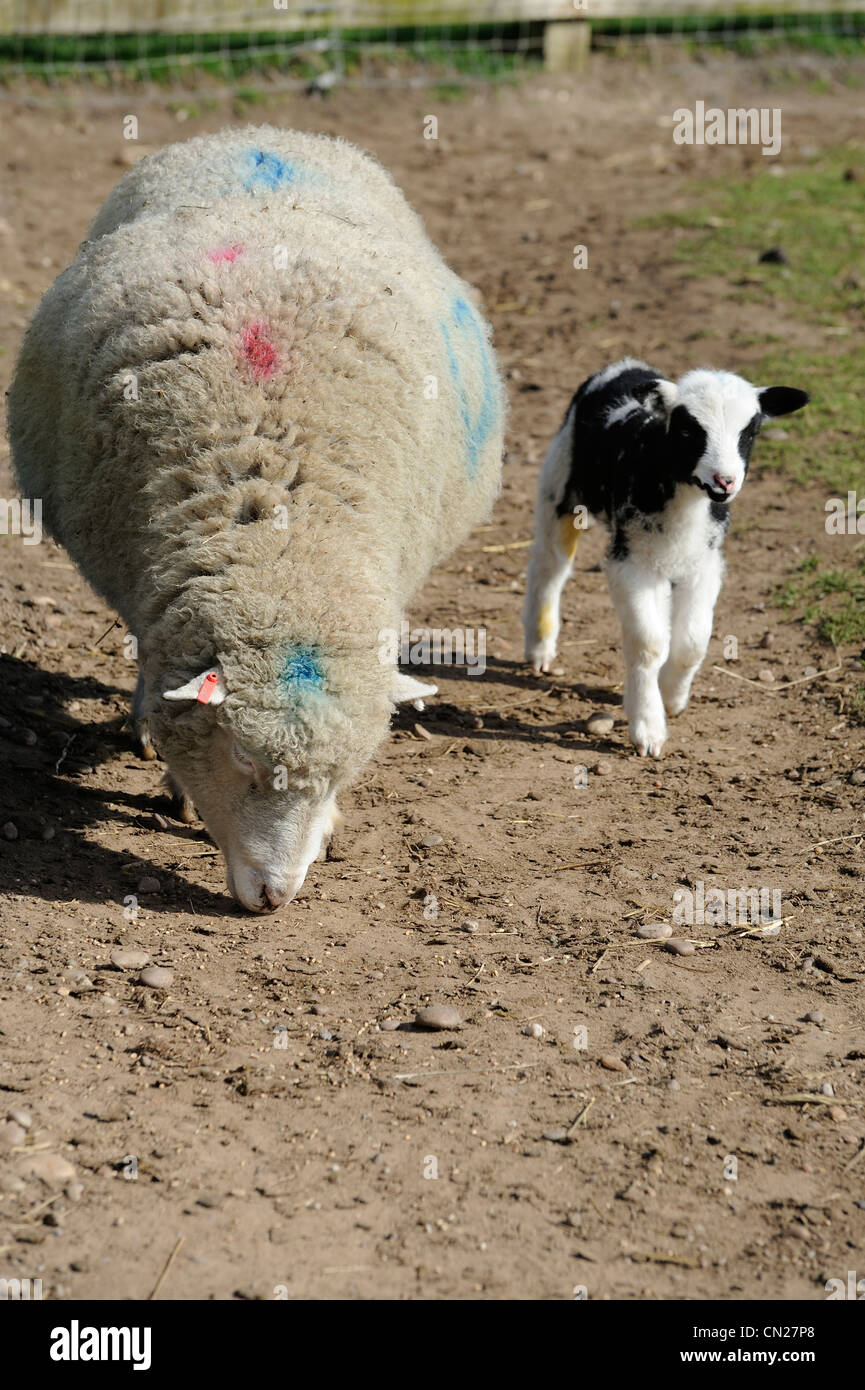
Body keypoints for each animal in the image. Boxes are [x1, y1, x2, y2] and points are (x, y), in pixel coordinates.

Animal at [6, 127, 506, 911]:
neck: (282, 548)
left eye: (342, 773)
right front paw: (171, 774)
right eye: (240, 754)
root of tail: (263, 134)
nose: (275, 896)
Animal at [522, 353, 812, 756]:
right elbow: (648, 643)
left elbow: (692, 641)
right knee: (550, 565)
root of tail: (624, 365)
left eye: (750, 432)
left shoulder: (705, 564)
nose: (725, 481)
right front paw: (648, 728)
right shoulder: (630, 563)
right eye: (689, 431)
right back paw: (539, 649)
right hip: (559, 483)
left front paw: (672, 697)